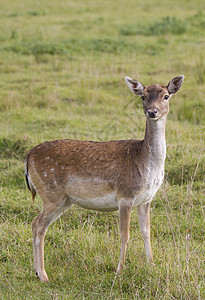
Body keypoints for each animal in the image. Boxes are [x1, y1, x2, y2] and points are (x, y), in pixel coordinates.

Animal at [25, 74, 184, 282]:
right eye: (143, 96)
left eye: (166, 96)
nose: (152, 111)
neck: (147, 165)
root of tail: (28, 157)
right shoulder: (125, 195)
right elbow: (125, 234)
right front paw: (120, 271)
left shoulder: (146, 199)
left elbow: (146, 232)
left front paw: (151, 265)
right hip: (51, 194)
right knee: (38, 224)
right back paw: (43, 274)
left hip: (63, 200)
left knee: (37, 224)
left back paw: (38, 271)